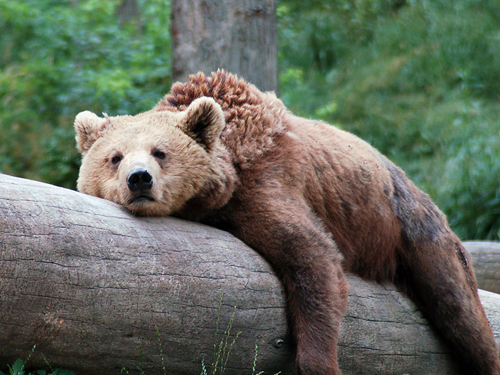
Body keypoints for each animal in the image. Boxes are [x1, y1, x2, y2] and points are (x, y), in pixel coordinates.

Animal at [74, 71, 500, 375]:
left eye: (160, 152)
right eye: (114, 156)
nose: (139, 179)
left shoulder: (267, 183)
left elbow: (311, 258)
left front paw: (319, 363)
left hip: (415, 232)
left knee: (458, 310)